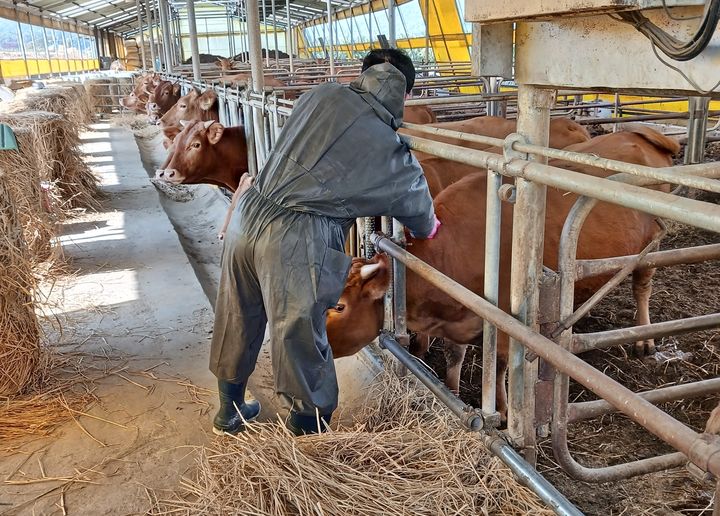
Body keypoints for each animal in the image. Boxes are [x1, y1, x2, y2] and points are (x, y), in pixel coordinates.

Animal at [328, 127, 680, 418]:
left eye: (340, 306)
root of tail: (639, 132)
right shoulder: (460, 313)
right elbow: (454, 355)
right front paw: (453, 392)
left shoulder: (506, 320)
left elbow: (497, 366)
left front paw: (503, 408)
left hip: (651, 248)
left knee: (642, 288)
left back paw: (645, 339)